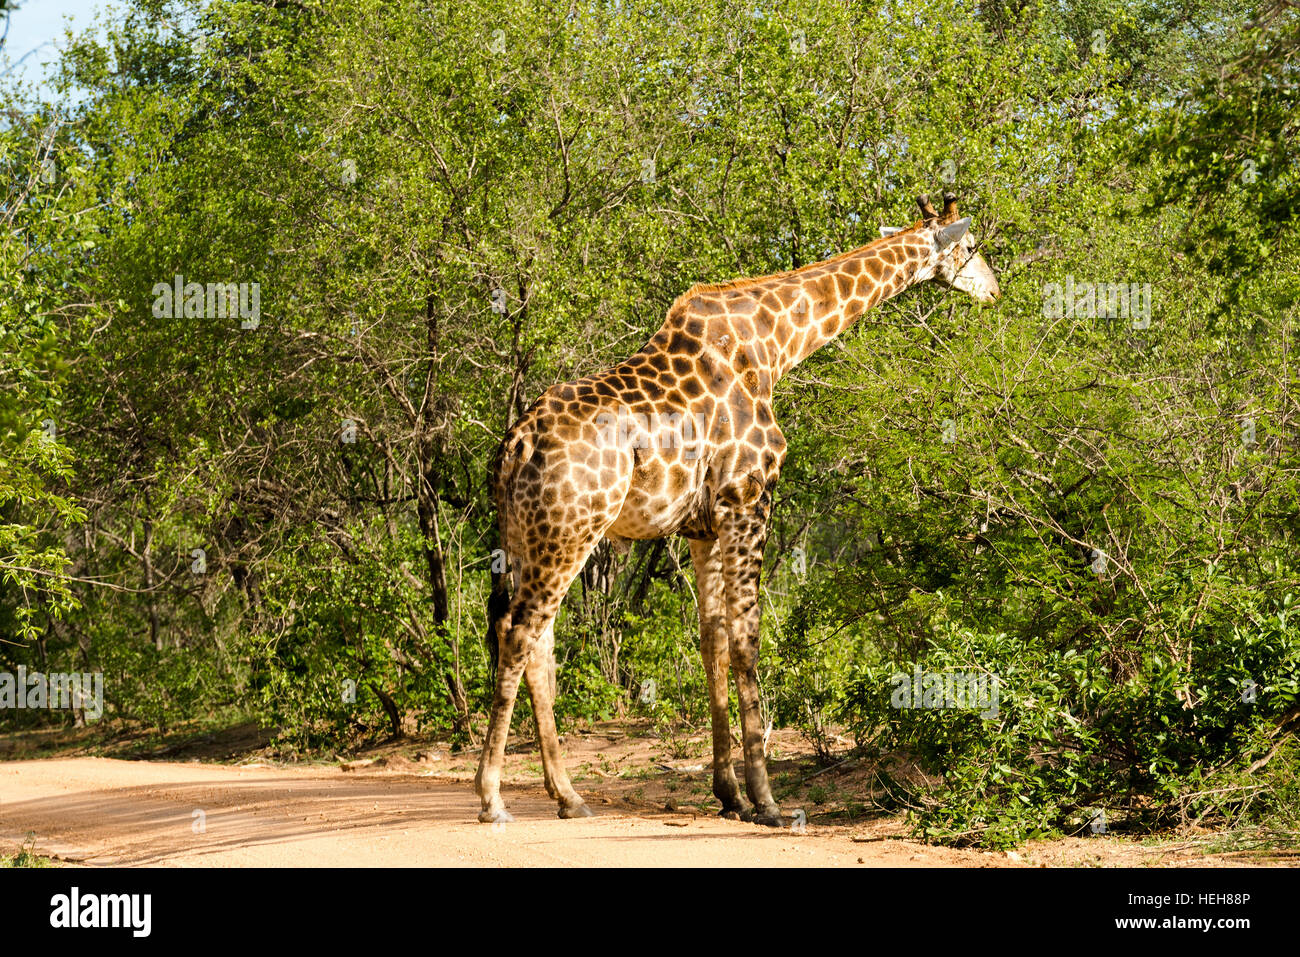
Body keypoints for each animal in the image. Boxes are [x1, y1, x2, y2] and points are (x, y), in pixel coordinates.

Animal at [475, 192, 993, 821]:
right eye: (971, 246)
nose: (994, 288)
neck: (775, 345)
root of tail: (517, 442)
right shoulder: (750, 497)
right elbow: (747, 642)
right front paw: (766, 800)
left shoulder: (702, 525)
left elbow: (713, 642)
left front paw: (729, 795)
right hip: (572, 528)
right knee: (521, 632)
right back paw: (492, 797)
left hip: (530, 533)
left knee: (535, 639)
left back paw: (568, 796)